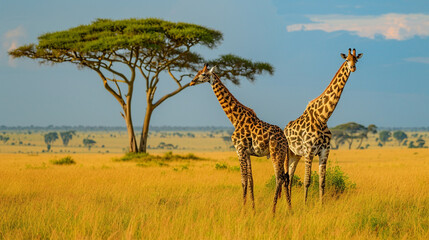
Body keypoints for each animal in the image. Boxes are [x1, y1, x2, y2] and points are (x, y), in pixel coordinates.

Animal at [191, 64, 290, 214]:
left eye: (203, 74)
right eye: (197, 72)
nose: (191, 82)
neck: (235, 119)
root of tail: (285, 141)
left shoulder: (239, 150)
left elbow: (243, 181)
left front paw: (242, 210)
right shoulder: (247, 153)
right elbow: (251, 180)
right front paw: (253, 209)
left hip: (275, 152)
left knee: (279, 178)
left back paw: (273, 211)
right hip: (282, 155)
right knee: (286, 178)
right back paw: (290, 209)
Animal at [284, 47, 362, 203]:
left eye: (356, 60)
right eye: (346, 59)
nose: (353, 68)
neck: (323, 117)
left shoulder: (325, 151)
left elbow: (322, 182)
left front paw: (321, 204)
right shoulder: (309, 151)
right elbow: (307, 181)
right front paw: (305, 205)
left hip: (296, 154)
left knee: (290, 177)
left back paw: (289, 203)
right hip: (287, 153)